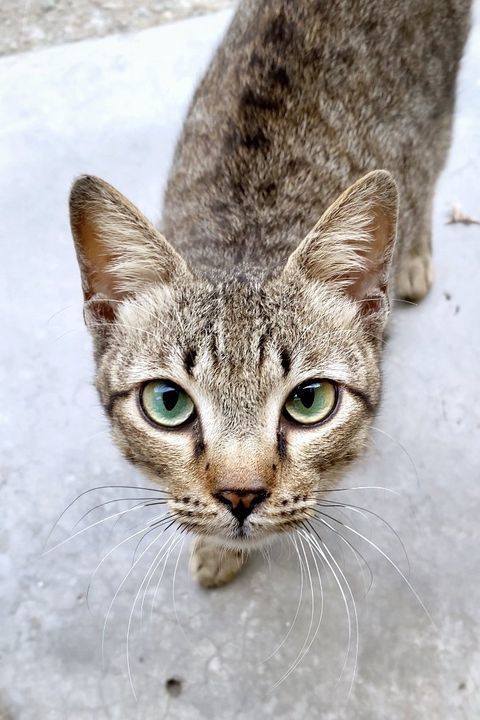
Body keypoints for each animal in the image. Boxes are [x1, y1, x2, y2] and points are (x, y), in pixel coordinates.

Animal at [69, 0, 470, 588]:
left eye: (310, 401)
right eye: (168, 403)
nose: (241, 495)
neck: (247, 237)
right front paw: (217, 547)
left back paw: (415, 255)